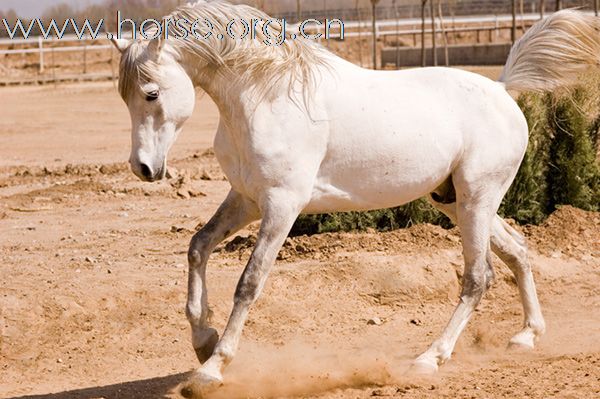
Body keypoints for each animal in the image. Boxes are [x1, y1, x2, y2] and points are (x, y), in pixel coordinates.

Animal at [110, 1, 600, 396]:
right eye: (125, 98)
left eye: (151, 93)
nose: (144, 168)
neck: (266, 96)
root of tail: (501, 90)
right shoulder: (245, 199)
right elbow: (197, 247)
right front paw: (202, 341)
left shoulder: (282, 206)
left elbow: (249, 282)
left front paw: (211, 369)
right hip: (454, 201)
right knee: (517, 250)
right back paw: (526, 336)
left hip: (477, 200)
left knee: (478, 278)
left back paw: (429, 359)